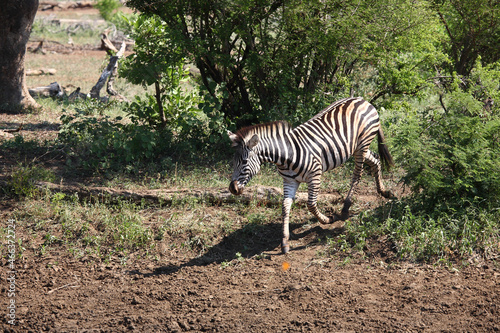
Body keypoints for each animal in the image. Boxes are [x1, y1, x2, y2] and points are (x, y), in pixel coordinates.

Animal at [227, 97, 394, 253]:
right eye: (233, 161)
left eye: (244, 161)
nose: (232, 189)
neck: (286, 156)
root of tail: (362, 100)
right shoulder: (289, 181)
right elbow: (285, 207)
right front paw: (285, 242)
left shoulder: (315, 176)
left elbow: (311, 204)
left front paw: (328, 219)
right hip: (357, 148)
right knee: (375, 160)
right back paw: (385, 192)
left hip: (362, 145)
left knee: (357, 176)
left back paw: (345, 208)